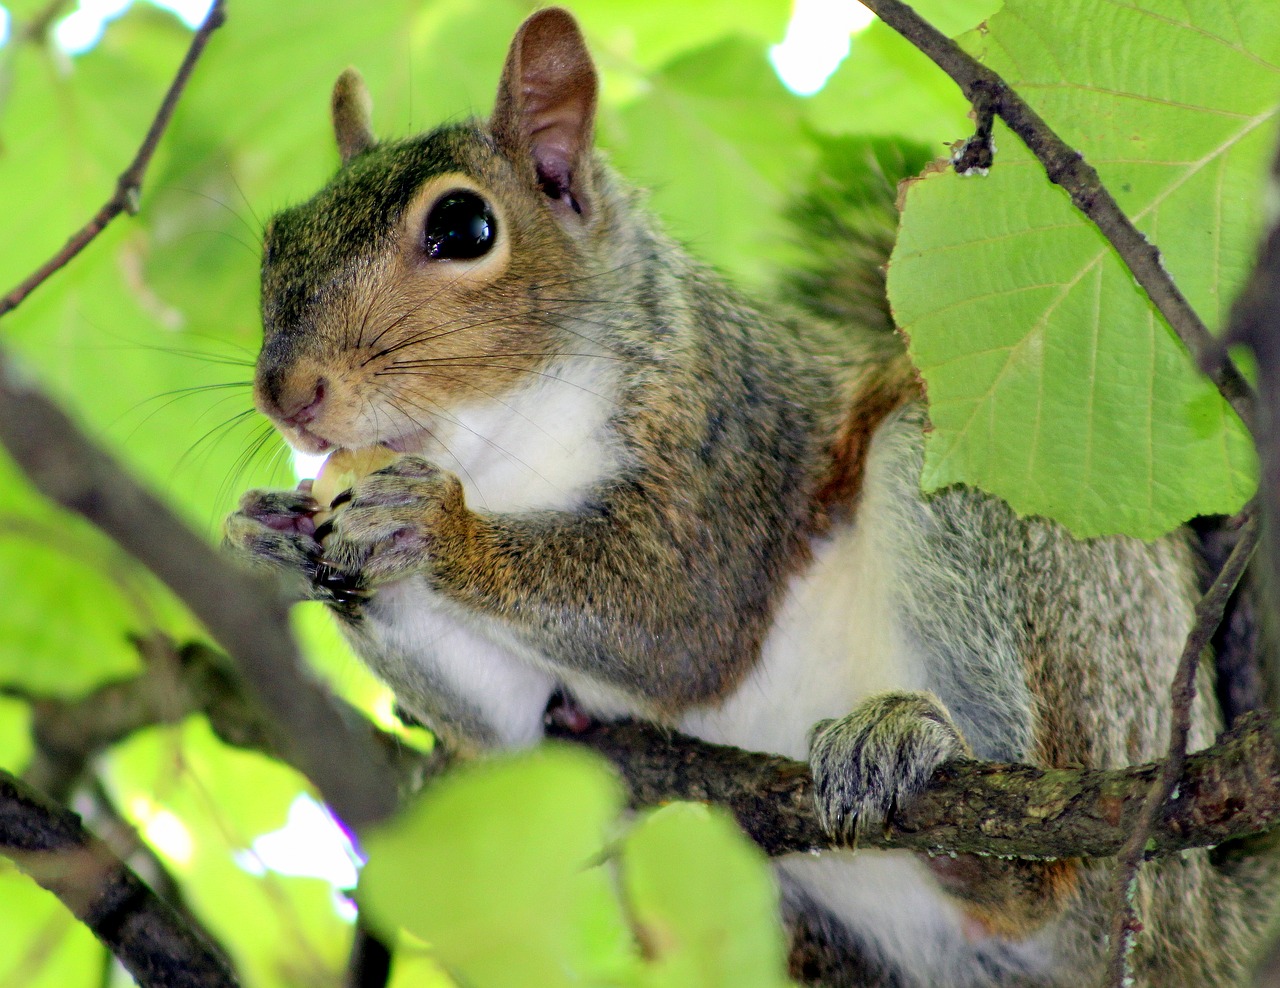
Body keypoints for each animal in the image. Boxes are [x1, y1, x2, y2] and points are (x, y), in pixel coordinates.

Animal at [225, 9, 1280, 988]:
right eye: (276, 239)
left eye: (463, 228)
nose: (286, 393)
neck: (504, 453)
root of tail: (1210, 930)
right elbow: (508, 728)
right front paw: (278, 534)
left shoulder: (728, 444)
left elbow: (684, 623)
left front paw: (435, 527)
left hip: (1047, 611)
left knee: (1042, 862)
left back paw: (926, 769)